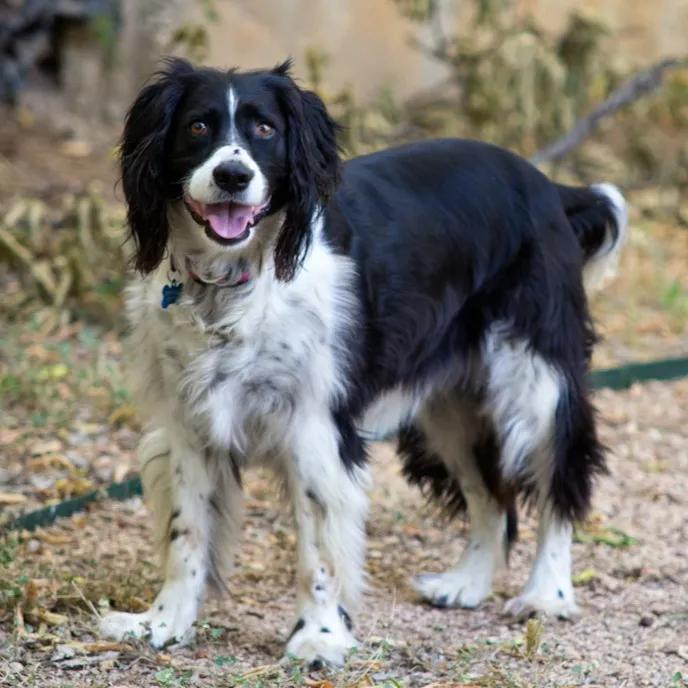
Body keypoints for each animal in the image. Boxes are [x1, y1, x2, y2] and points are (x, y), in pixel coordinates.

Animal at [99, 60, 628, 668]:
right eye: (197, 126)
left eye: (264, 130)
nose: (232, 175)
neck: (234, 280)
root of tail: (547, 186)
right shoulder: (190, 425)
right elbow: (186, 532)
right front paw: (162, 624)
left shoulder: (315, 426)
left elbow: (318, 548)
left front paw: (318, 636)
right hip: (452, 407)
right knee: (490, 497)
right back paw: (467, 583)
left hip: (534, 384)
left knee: (558, 483)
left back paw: (547, 593)